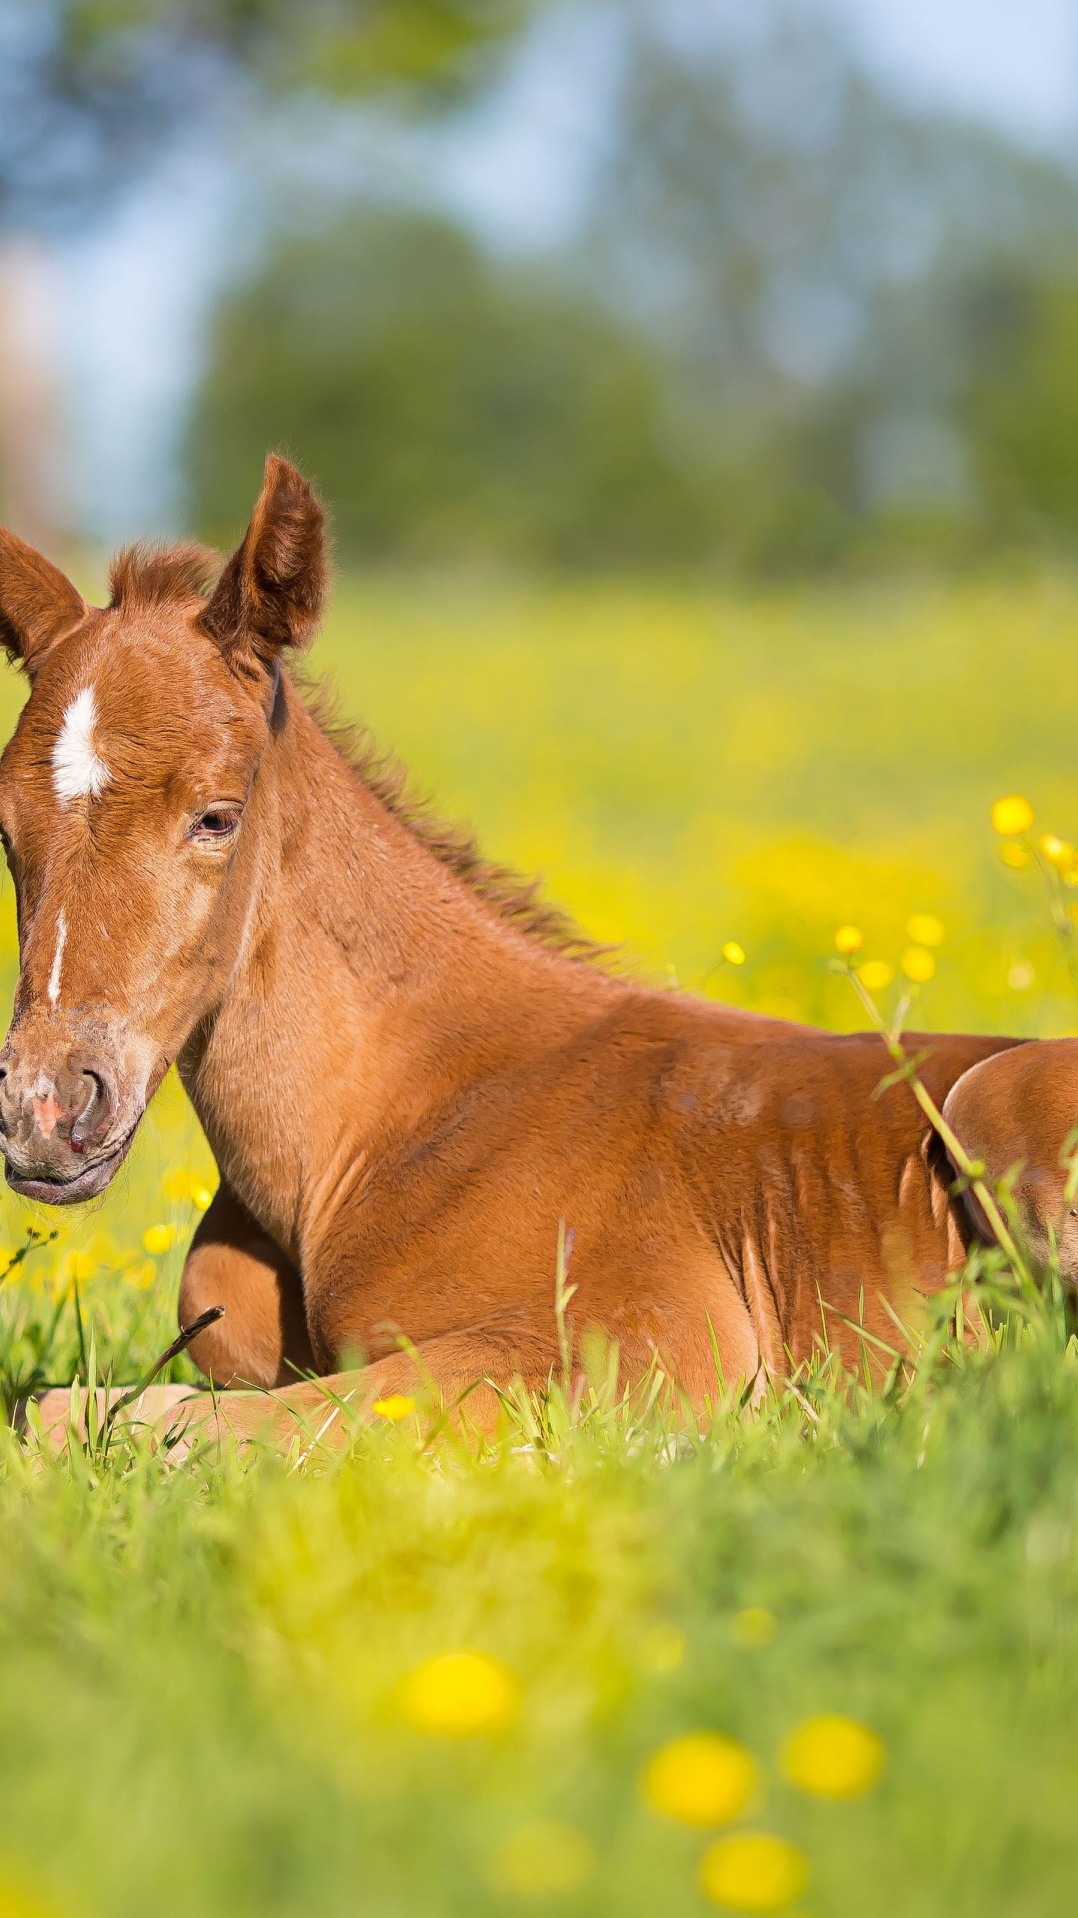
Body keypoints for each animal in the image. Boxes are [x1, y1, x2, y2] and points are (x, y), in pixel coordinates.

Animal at [0, 460, 1066, 1450]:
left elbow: (159, 1420)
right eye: (6, 829)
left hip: (989, 1107)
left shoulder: (650, 1342)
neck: (387, 1115)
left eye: (217, 816)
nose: (45, 1110)